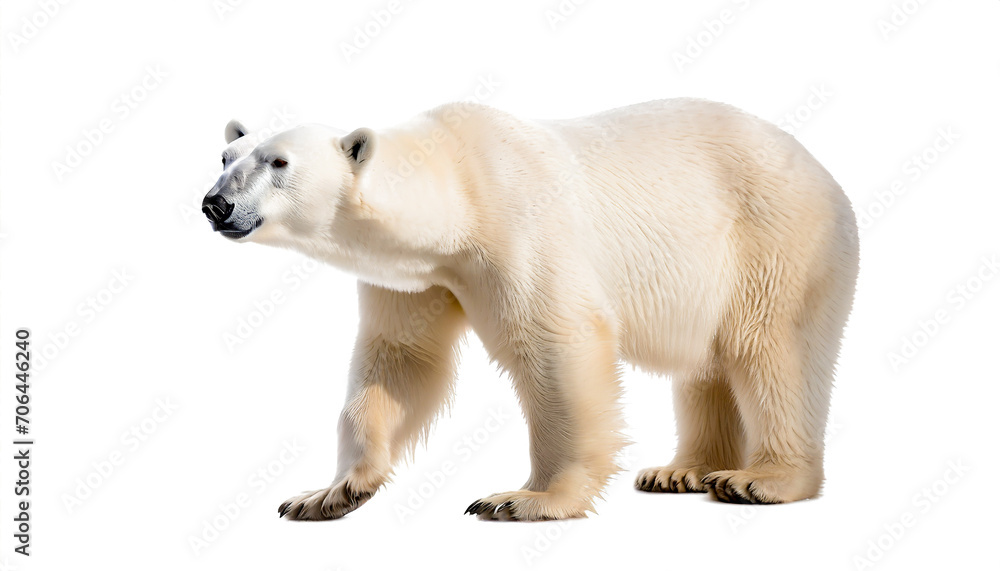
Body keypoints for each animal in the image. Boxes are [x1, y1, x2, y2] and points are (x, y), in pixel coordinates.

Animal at [202, 98, 859, 521]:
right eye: (225, 156)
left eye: (279, 163)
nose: (215, 204)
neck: (458, 186)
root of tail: (826, 172)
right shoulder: (416, 279)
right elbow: (402, 362)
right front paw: (330, 492)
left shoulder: (520, 227)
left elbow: (557, 348)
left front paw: (525, 499)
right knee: (706, 366)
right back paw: (680, 471)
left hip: (773, 240)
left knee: (772, 349)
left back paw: (760, 481)